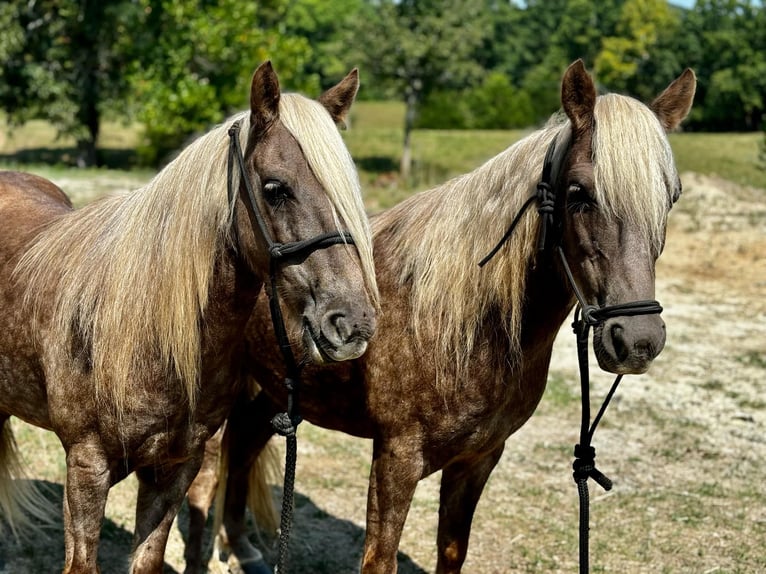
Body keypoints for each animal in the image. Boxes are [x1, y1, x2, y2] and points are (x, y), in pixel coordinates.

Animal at [185, 60, 696, 573]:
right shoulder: (397, 459)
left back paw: (243, 548)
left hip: (271, 391)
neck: (468, 324)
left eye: (671, 197)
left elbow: (452, 550)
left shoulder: (479, 458)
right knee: (205, 479)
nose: (638, 339)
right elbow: (379, 558)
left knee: (241, 450)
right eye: (579, 193)